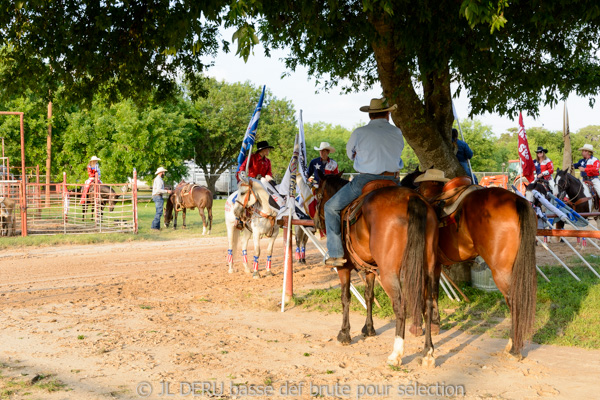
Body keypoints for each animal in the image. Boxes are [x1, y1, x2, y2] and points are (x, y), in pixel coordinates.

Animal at [314, 173, 440, 368]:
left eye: (319, 195)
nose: (315, 221)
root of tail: (412, 197)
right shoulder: (370, 270)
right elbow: (369, 296)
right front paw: (369, 328)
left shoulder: (344, 268)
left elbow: (345, 298)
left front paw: (344, 333)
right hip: (428, 268)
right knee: (428, 302)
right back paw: (427, 352)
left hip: (389, 272)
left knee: (400, 306)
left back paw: (396, 354)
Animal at [404, 170, 540, 360]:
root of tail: (516, 201)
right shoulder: (435, 264)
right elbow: (434, 293)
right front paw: (436, 323)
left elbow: (423, 295)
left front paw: (418, 327)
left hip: (501, 272)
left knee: (514, 302)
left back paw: (514, 348)